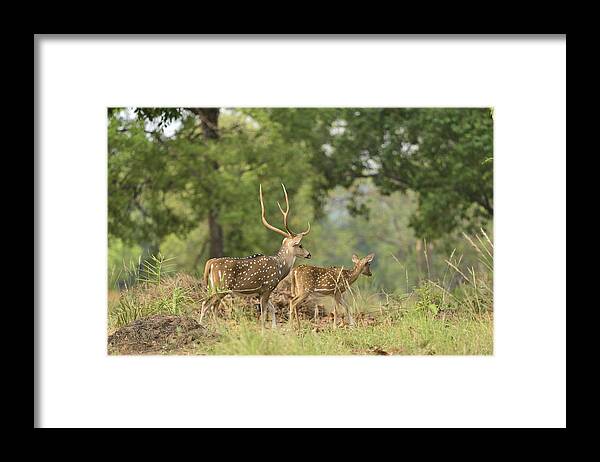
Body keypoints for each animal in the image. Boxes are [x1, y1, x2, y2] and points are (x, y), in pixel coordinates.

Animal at [202, 184, 314, 328]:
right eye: (300, 245)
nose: (309, 254)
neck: (280, 269)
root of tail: (210, 263)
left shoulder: (261, 292)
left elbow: (272, 309)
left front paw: (274, 328)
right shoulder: (267, 287)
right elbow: (264, 313)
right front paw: (264, 329)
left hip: (213, 286)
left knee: (212, 306)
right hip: (221, 286)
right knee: (206, 304)